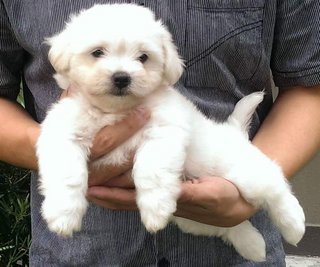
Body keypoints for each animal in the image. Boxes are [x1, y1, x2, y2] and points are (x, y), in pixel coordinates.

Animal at [37, 3, 304, 262]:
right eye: (97, 52)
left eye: (143, 57)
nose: (121, 77)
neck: (116, 111)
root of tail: (233, 131)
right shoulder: (63, 132)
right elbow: (66, 174)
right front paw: (62, 215)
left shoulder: (163, 131)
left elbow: (150, 171)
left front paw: (155, 210)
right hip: (193, 219)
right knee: (227, 225)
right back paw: (253, 245)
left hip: (247, 175)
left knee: (276, 190)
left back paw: (294, 226)